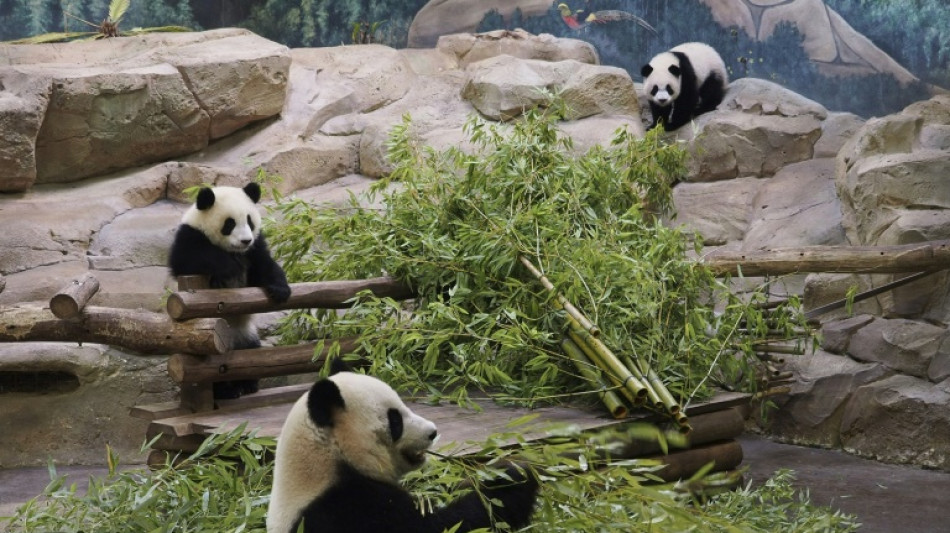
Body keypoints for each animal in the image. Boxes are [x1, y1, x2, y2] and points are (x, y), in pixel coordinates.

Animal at [167, 181, 292, 396]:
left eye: (249, 221)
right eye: (230, 223)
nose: (245, 240)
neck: (234, 251)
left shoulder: (255, 246)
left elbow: (265, 265)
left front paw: (280, 290)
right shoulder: (190, 236)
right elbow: (187, 258)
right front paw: (229, 268)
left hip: (246, 335)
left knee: (251, 355)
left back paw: (246, 385)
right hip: (211, 346)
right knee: (215, 367)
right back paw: (226, 391)